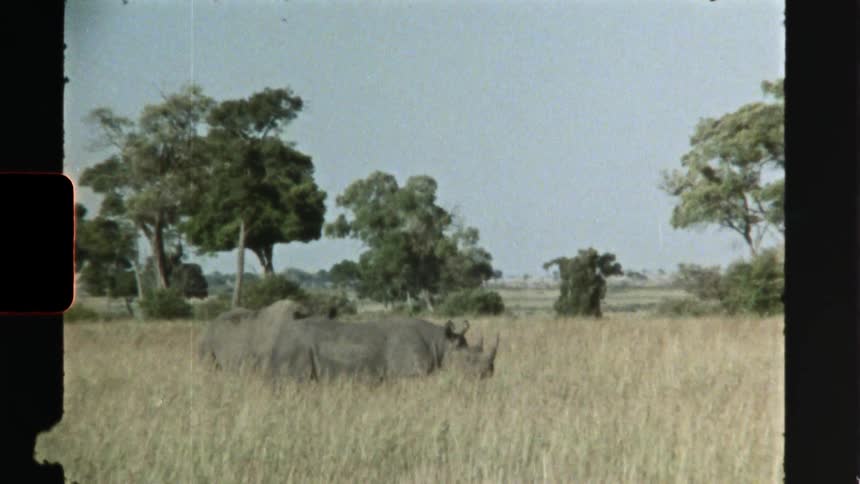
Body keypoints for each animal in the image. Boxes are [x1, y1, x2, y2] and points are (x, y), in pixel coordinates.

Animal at [268, 317, 499, 382]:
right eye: (469, 360)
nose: (489, 373)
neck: (441, 343)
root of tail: (277, 340)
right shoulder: (409, 376)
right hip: (296, 348)